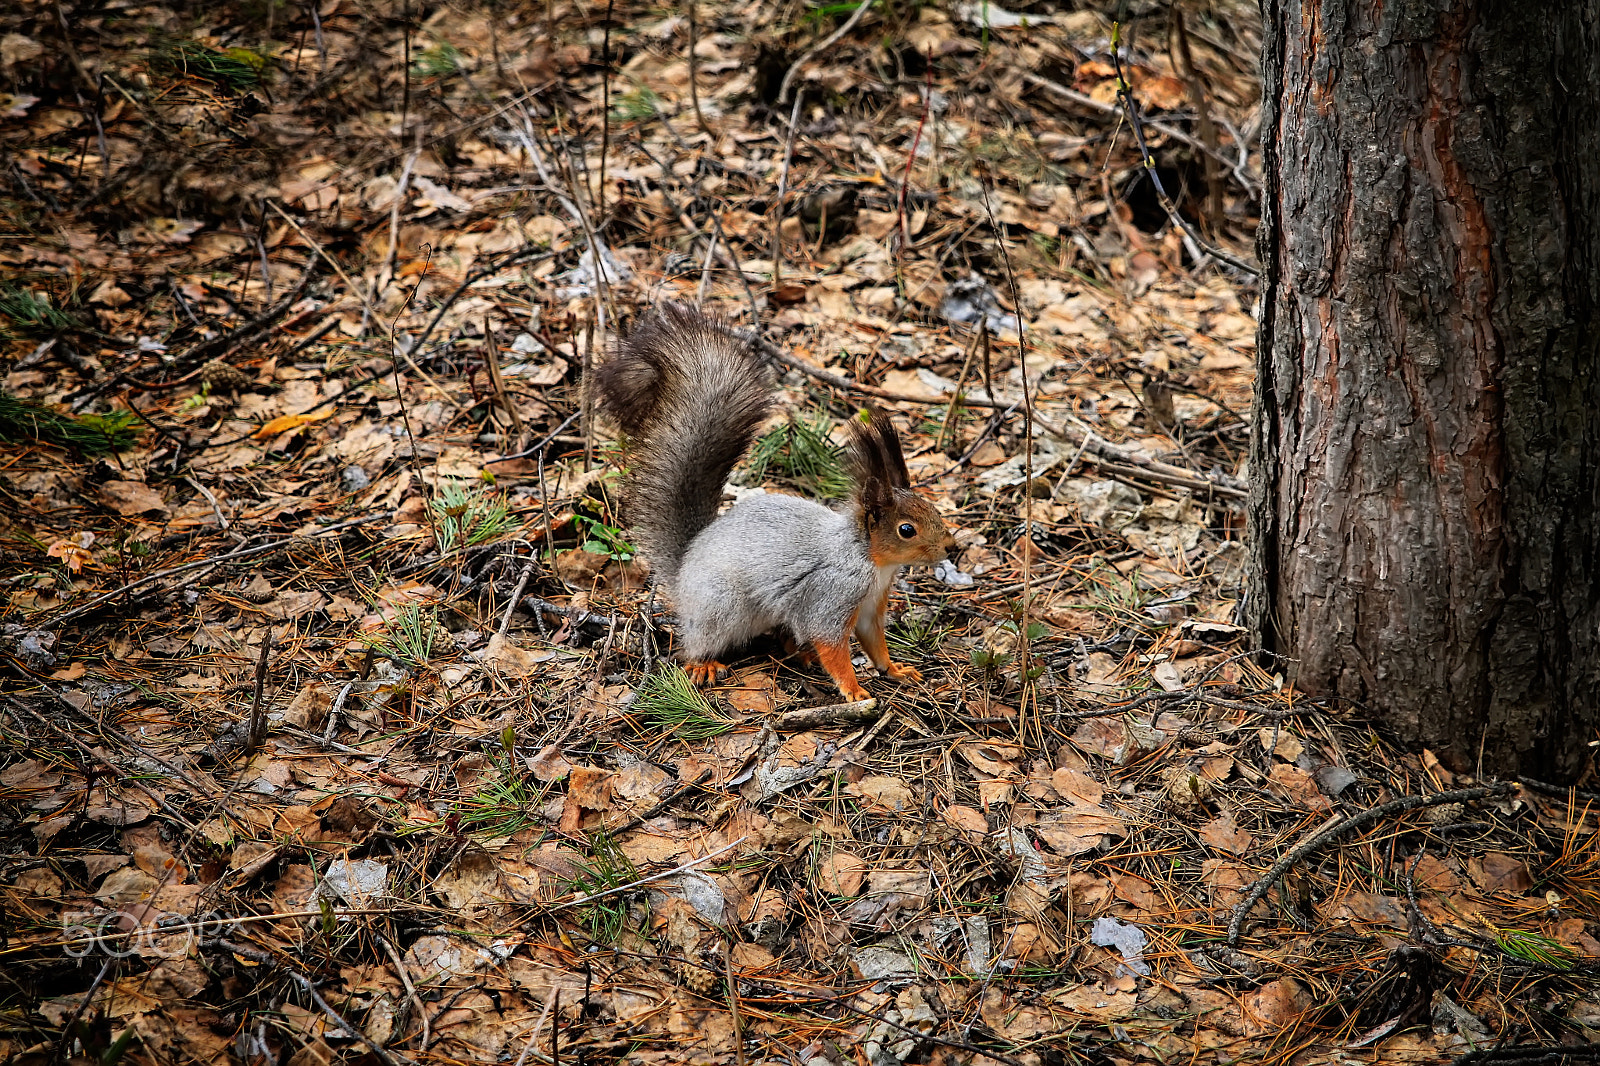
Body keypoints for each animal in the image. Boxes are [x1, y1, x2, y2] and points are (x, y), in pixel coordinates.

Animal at [598, 299, 947, 701]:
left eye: (931, 509)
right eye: (907, 529)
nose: (950, 548)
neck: (870, 558)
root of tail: (683, 572)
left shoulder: (871, 606)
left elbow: (875, 643)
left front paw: (896, 670)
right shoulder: (833, 593)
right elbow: (831, 644)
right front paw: (854, 691)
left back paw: (798, 653)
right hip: (720, 607)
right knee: (697, 643)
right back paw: (704, 664)